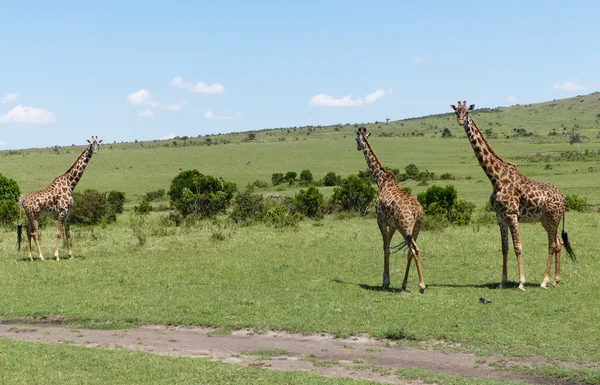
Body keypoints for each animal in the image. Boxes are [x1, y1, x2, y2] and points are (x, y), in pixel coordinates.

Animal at [356, 126, 426, 292]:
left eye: (356, 139)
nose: (357, 147)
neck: (380, 180)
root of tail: (416, 210)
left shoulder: (380, 221)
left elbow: (385, 247)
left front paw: (385, 281)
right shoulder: (393, 225)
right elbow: (388, 246)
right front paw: (388, 280)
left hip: (405, 227)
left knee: (415, 249)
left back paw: (422, 285)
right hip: (416, 228)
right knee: (410, 251)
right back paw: (404, 284)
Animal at [452, 102, 576, 288]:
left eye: (466, 112)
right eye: (455, 112)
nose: (460, 121)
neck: (495, 177)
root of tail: (563, 198)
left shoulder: (511, 214)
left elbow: (518, 247)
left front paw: (521, 283)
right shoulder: (500, 216)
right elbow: (505, 247)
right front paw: (502, 282)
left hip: (553, 218)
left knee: (553, 244)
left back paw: (544, 281)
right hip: (546, 220)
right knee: (559, 243)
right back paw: (556, 279)